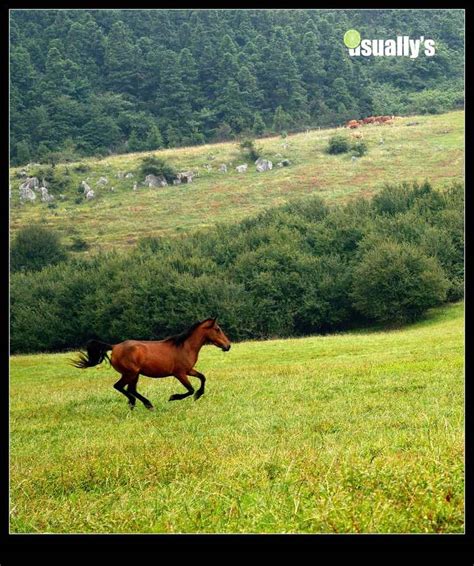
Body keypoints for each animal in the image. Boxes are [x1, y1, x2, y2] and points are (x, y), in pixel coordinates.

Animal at [71, 320, 231, 412]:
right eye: (217, 329)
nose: (228, 346)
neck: (184, 347)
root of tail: (114, 346)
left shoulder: (189, 370)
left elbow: (203, 378)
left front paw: (198, 395)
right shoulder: (179, 373)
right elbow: (190, 389)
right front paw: (173, 397)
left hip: (134, 374)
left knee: (130, 389)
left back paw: (137, 404)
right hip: (130, 373)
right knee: (120, 387)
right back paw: (143, 403)